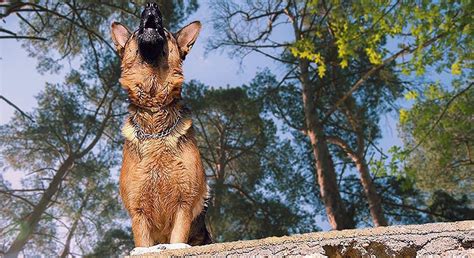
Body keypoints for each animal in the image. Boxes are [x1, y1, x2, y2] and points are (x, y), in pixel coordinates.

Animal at [111, 2, 211, 250]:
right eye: (136, 32)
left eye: (165, 32)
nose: (151, 5)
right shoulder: (138, 212)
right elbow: (143, 245)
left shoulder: (184, 205)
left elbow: (177, 240)